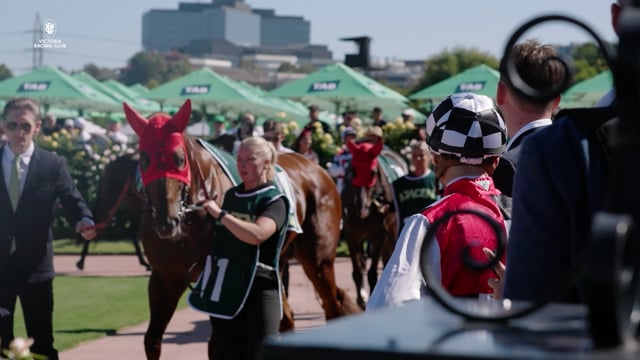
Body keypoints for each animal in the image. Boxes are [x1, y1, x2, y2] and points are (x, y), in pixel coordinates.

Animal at [122, 100, 358, 358]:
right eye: (145, 160)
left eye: (179, 159)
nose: (166, 221)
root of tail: (317, 169)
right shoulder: (164, 278)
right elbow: (152, 340)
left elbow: (218, 345)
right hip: (274, 265)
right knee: (286, 318)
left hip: (318, 260)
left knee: (332, 305)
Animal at [342, 148, 408, 308]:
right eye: (353, 171)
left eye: (372, 173)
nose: (362, 208)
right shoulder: (351, 234)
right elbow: (357, 270)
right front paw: (361, 299)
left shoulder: (378, 235)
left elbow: (372, 273)